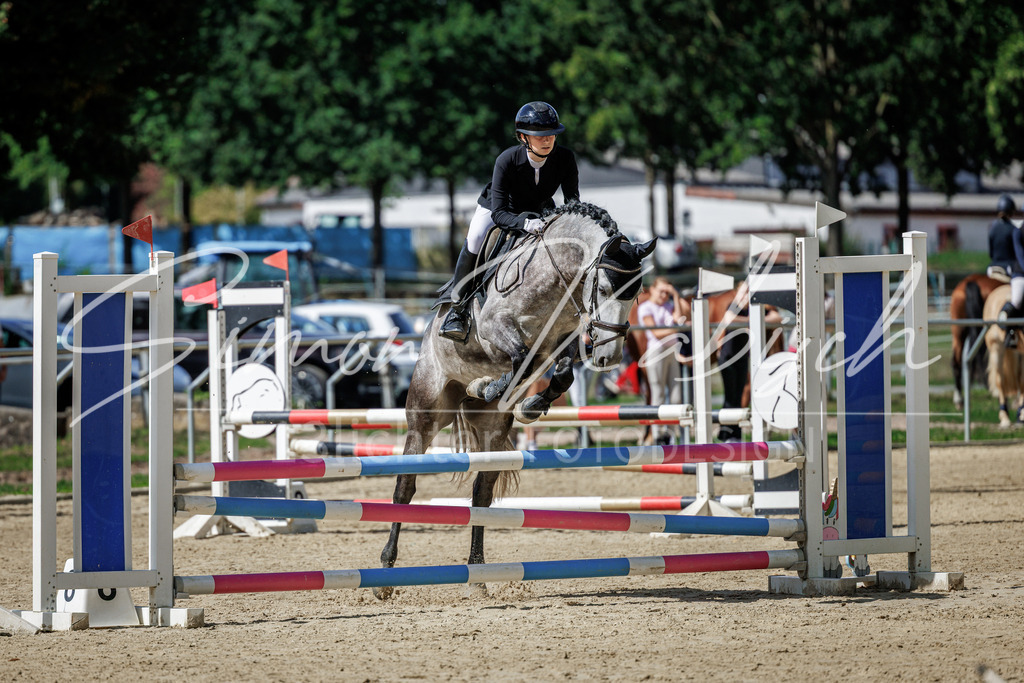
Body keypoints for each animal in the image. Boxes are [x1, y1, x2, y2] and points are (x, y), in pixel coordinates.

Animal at [375, 201, 656, 599]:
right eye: (602, 287)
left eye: (637, 292)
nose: (608, 358)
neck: (556, 275)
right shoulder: (496, 327)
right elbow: (521, 358)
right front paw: (489, 387)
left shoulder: (561, 342)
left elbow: (561, 374)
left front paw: (528, 404)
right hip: (426, 413)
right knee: (405, 486)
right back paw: (384, 574)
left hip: (491, 430)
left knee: (481, 494)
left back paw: (476, 577)